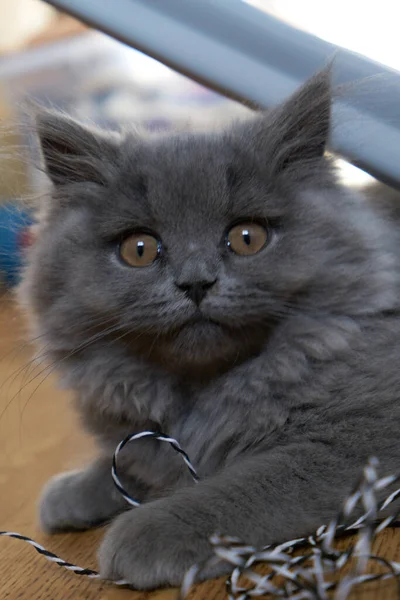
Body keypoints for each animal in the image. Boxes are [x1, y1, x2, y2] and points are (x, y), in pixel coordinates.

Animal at [19, 71, 400, 592]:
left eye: (246, 238)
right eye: (140, 249)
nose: (196, 282)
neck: (201, 392)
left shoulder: (363, 435)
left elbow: (252, 485)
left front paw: (146, 531)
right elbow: (132, 461)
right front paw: (73, 491)